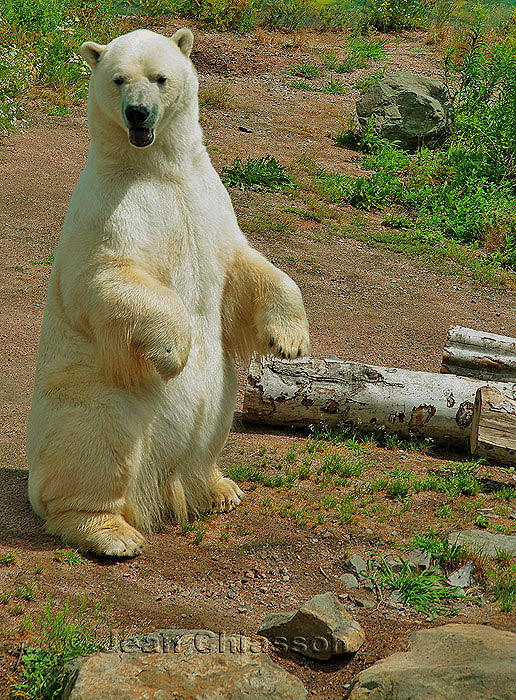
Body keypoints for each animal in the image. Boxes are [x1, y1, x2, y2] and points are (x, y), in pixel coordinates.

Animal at [26, 28, 310, 556]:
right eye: (118, 79)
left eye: (160, 78)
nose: (138, 113)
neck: (156, 167)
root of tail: (157, 484)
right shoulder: (111, 210)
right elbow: (106, 278)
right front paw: (174, 352)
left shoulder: (206, 199)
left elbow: (244, 266)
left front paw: (290, 340)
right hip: (97, 397)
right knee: (96, 447)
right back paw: (111, 533)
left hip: (213, 408)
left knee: (211, 427)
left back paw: (219, 488)